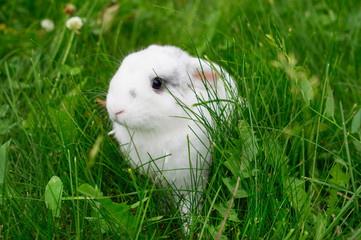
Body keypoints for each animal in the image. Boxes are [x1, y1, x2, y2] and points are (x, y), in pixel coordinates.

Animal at [105, 44, 238, 232]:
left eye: (157, 83)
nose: (115, 109)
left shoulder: (191, 179)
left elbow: (189, 206)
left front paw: (190, 229)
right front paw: (164, 210)